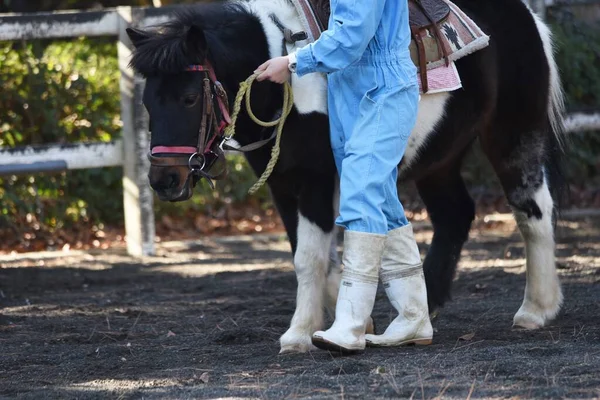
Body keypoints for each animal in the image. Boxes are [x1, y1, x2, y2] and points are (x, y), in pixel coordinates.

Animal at [126, 0, 568, 354]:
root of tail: (528, 18)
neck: (285, 86)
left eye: (189, 98)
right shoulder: (283, 186)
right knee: (454, 215)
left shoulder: (315, 182)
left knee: (533, 211)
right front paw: (355, 321)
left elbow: (309, 258)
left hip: (513, 135)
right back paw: (422, 313)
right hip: (439, 159)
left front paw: (300, 335)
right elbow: (318, 256)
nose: (164, 180)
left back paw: (536, 310)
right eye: (146, 102)